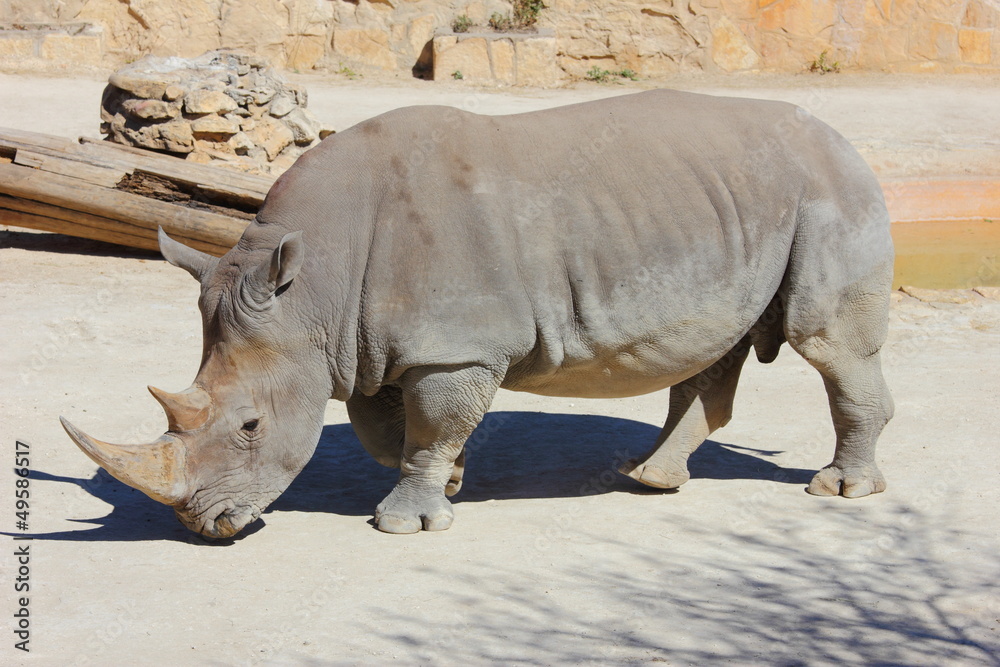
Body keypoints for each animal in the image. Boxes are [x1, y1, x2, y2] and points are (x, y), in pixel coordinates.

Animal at [61, 90, 894, 538]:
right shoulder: (367, 347)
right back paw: (649, 478)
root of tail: (845, 140)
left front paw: (405, 522)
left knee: (828, 345)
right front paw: (453, 482)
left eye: (249, 427)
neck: (314, 287)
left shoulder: (453, 346)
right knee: (711, 352)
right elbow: (387, 429)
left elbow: (431, 424)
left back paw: (840, 490)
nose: (207, 527)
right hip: (733, 205)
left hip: (831, 192)